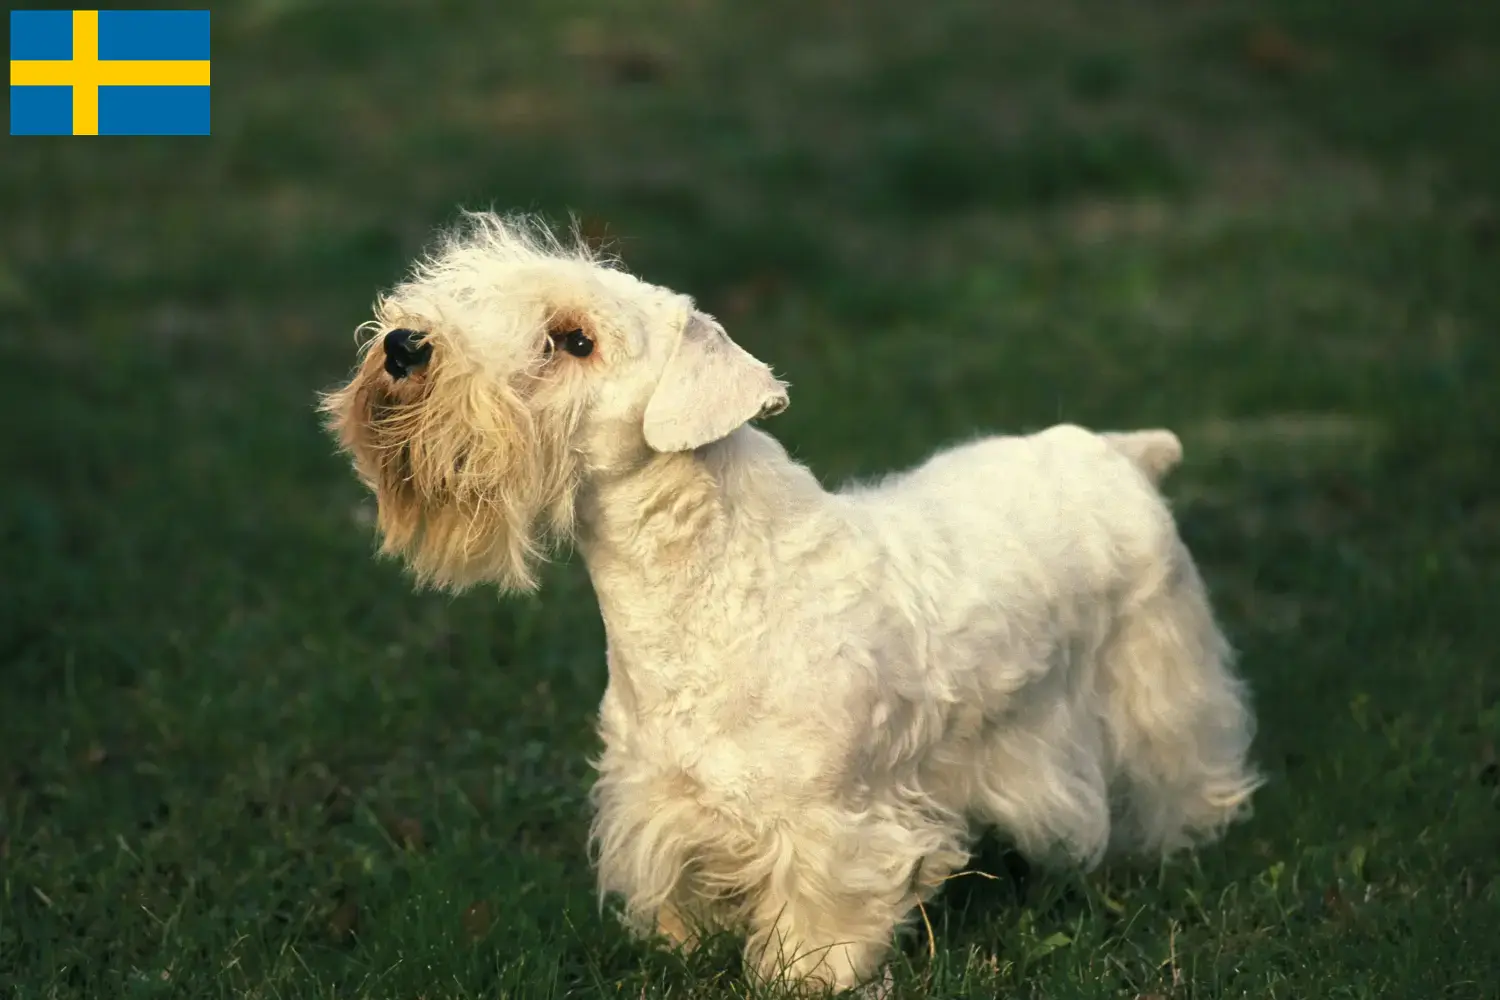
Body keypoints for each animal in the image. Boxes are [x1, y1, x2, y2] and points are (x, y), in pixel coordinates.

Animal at [322, 212, 1260, 995]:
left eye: (573, 339)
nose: (403, 346)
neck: (702, 588)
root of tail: (1122, 453)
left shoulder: (833, 825)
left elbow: (820, 919)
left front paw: (804, 976)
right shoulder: (658, 799)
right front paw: (681, 947)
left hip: (1159, 679)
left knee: (1190, 767)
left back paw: (1181, 848)